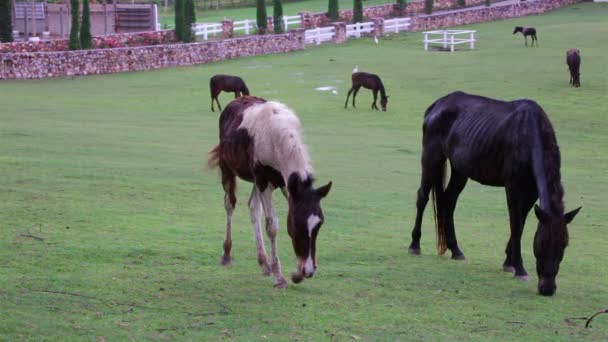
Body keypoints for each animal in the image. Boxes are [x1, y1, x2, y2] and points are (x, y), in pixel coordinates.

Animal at [209, 95, 332, 288]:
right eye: (297, 225)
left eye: (319, 224)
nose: (309, 270)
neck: (276, 137)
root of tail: (237, 100)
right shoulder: (264, 181)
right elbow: (272, 226)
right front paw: (280, 277)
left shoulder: (286, 185)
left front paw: (296, 273)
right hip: (227, 167)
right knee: (229, 204)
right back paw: (227, 254)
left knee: (253, 208)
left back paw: (264, 263)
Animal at [408, 91, 580, 296]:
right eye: (541, 244)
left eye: (564, 245)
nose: (547, 288)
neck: (529, 134)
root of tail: (437, 105)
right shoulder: (513, 187)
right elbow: (516, 225)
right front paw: (519, 269)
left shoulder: (531, 192)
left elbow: (521, 221)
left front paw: (508, 262)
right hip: (432, 158)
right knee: (422, 197)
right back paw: (415, 245)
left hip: (460, 170)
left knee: (448, 201)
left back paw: (455, 249)